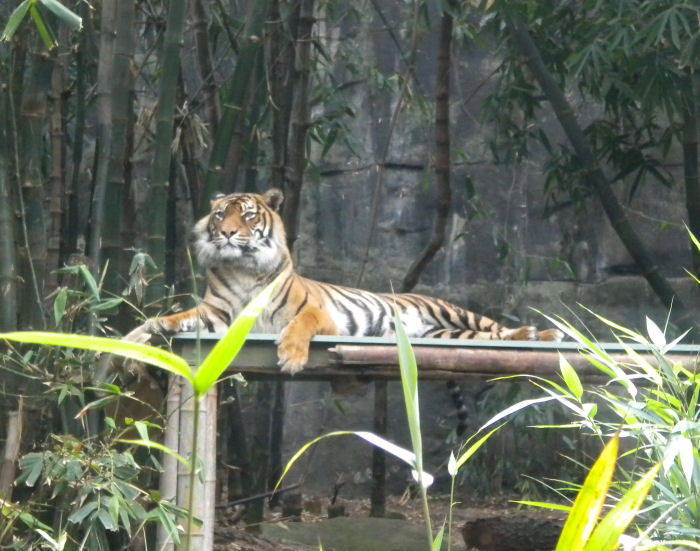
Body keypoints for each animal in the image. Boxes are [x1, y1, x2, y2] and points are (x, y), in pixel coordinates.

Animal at [125, 188, 562, 374]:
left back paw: (541, 334)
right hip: (448, 335)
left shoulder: (319, 315)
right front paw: (144, 334)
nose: (228, 233)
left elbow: (299, 326)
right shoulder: (218, 315)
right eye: (220, 215)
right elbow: (173, 318)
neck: (242, 266)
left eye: (247, 215)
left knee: (499, 329)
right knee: (488, 337)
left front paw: (292, 358)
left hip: (454, 312)